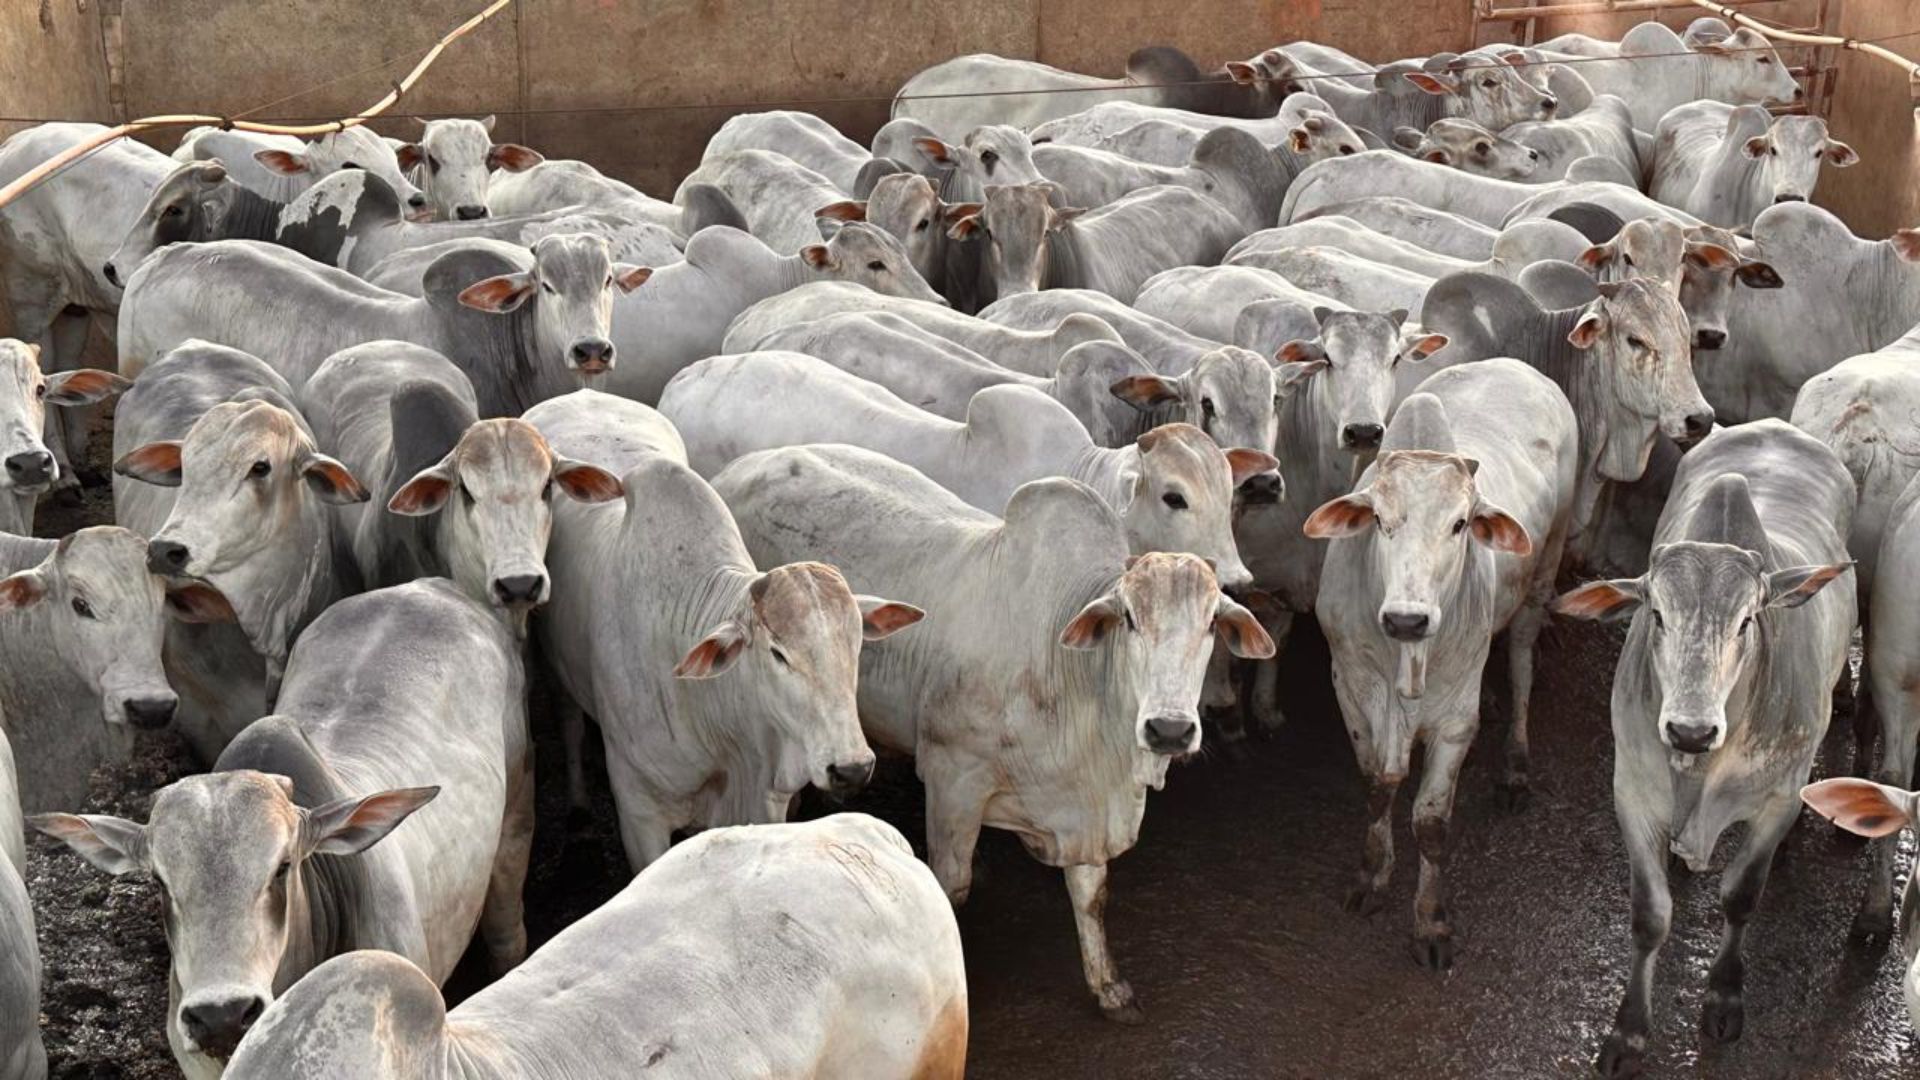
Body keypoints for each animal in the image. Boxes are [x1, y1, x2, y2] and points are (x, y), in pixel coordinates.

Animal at [718, 443, 1274, 1014]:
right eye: (1130, 619)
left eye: (1212, 624)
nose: (1169, 729)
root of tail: (747, 464)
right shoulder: (952, 776)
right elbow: (952, 886)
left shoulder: (1086, 805)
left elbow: (1090, 894)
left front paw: (1108, 986)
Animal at [1551, 418, 1850, 1068]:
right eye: (1657, 615)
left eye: (1747, 621)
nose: (1690, 729)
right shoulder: (1633, 796)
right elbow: (1649, 917)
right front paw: (1629, 1030)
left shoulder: (1775, 803)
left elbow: (1740, 897)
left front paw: (1724, 995)